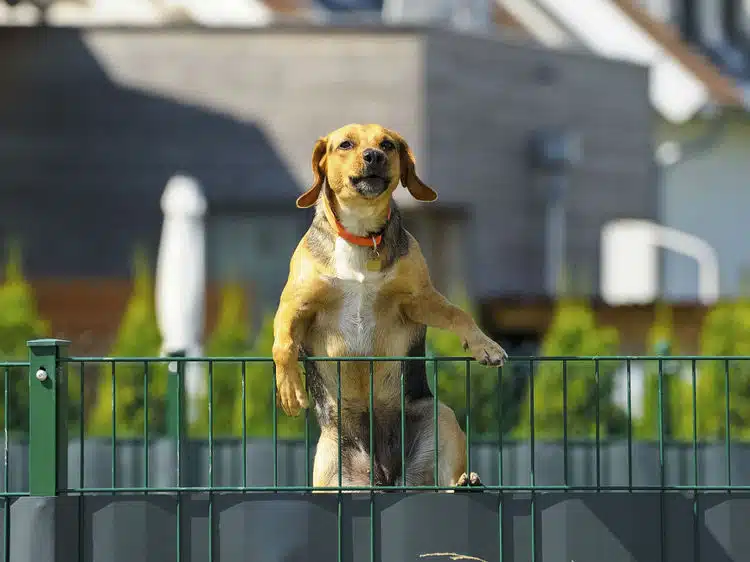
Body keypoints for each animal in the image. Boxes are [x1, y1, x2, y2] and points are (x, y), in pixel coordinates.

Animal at [274, 122, 508, 486]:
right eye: (345, 144)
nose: (374, 156)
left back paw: (468, 483)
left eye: (388, 144)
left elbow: (459, 314)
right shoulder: (294, 307)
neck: (360, 233)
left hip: (441, 418)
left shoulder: (419, 299)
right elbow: (283, 344)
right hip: (328, 465)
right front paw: (288, 389)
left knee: (442, 482)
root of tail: (384, 476)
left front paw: (486, 346)